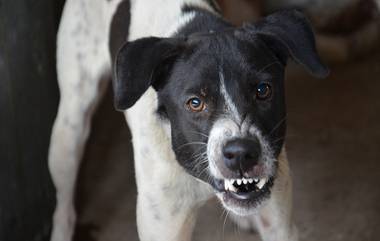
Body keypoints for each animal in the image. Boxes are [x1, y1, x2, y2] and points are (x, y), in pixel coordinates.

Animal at [49, 0, 328, 241]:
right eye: (195, 102)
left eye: (263, 90)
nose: (241, 153)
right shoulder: (164, 226)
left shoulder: (280, 225)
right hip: (69, 128)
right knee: (64, 204)